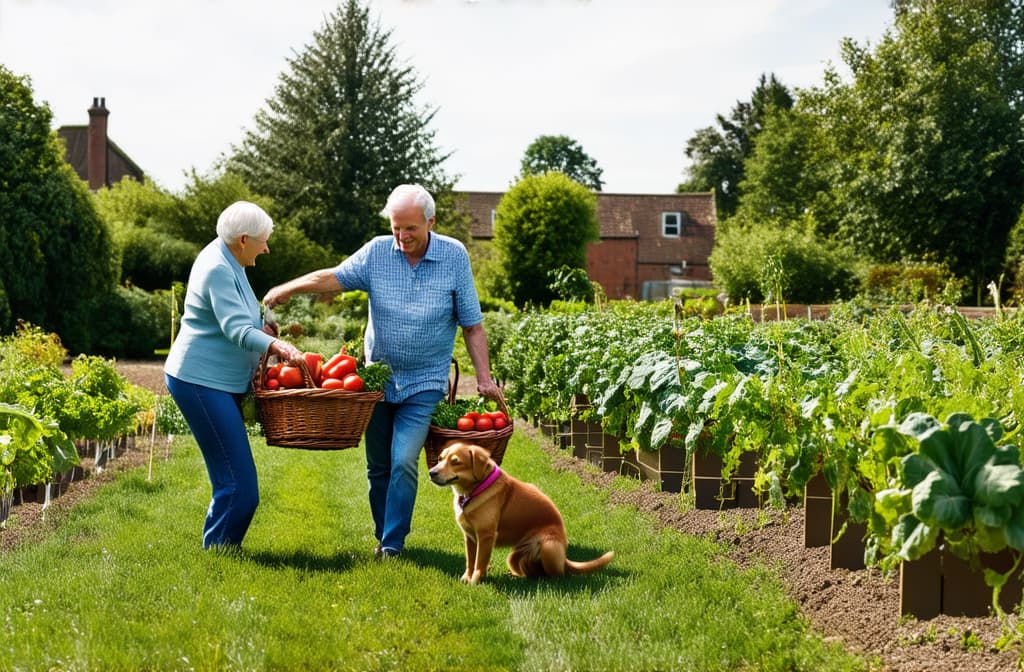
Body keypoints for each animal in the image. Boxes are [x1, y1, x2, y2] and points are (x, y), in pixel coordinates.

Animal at [425, 440, 610, 581]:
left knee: (557, 575)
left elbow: (479, 562)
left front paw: (475, 582)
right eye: (440, 459)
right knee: (531, 573)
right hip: (513, 557)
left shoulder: (486, 536)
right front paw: (466, 579)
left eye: (456, 462)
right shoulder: (469, 537)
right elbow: (470, 561)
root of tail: (565, 558)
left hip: (549, 547)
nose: (431, 472)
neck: (474, 491)